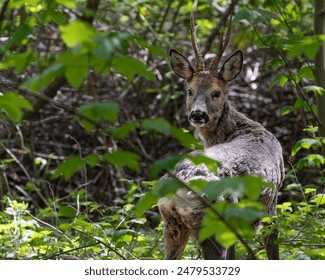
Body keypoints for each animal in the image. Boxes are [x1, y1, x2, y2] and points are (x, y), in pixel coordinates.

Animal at [158, 10, 284, 260]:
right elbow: (273, 249)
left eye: (216, 93)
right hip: (215, 222)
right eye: (189, 91)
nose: (197, 114)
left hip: (172, 225)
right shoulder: (272, 202)